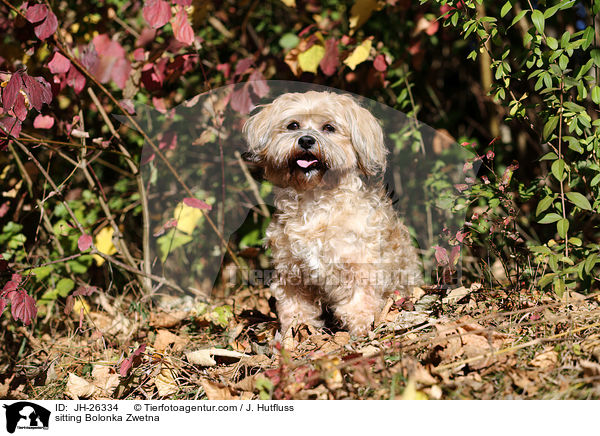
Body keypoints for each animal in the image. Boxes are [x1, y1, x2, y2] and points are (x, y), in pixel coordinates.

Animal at [243, 91, 422, 338]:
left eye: (329, 127)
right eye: (293, 125)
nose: (306, 140)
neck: (315, 202)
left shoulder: (360, 264)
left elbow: (360, 299)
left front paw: (360, 325)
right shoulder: (291, 272)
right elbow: (295, 307)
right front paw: (296, 331)